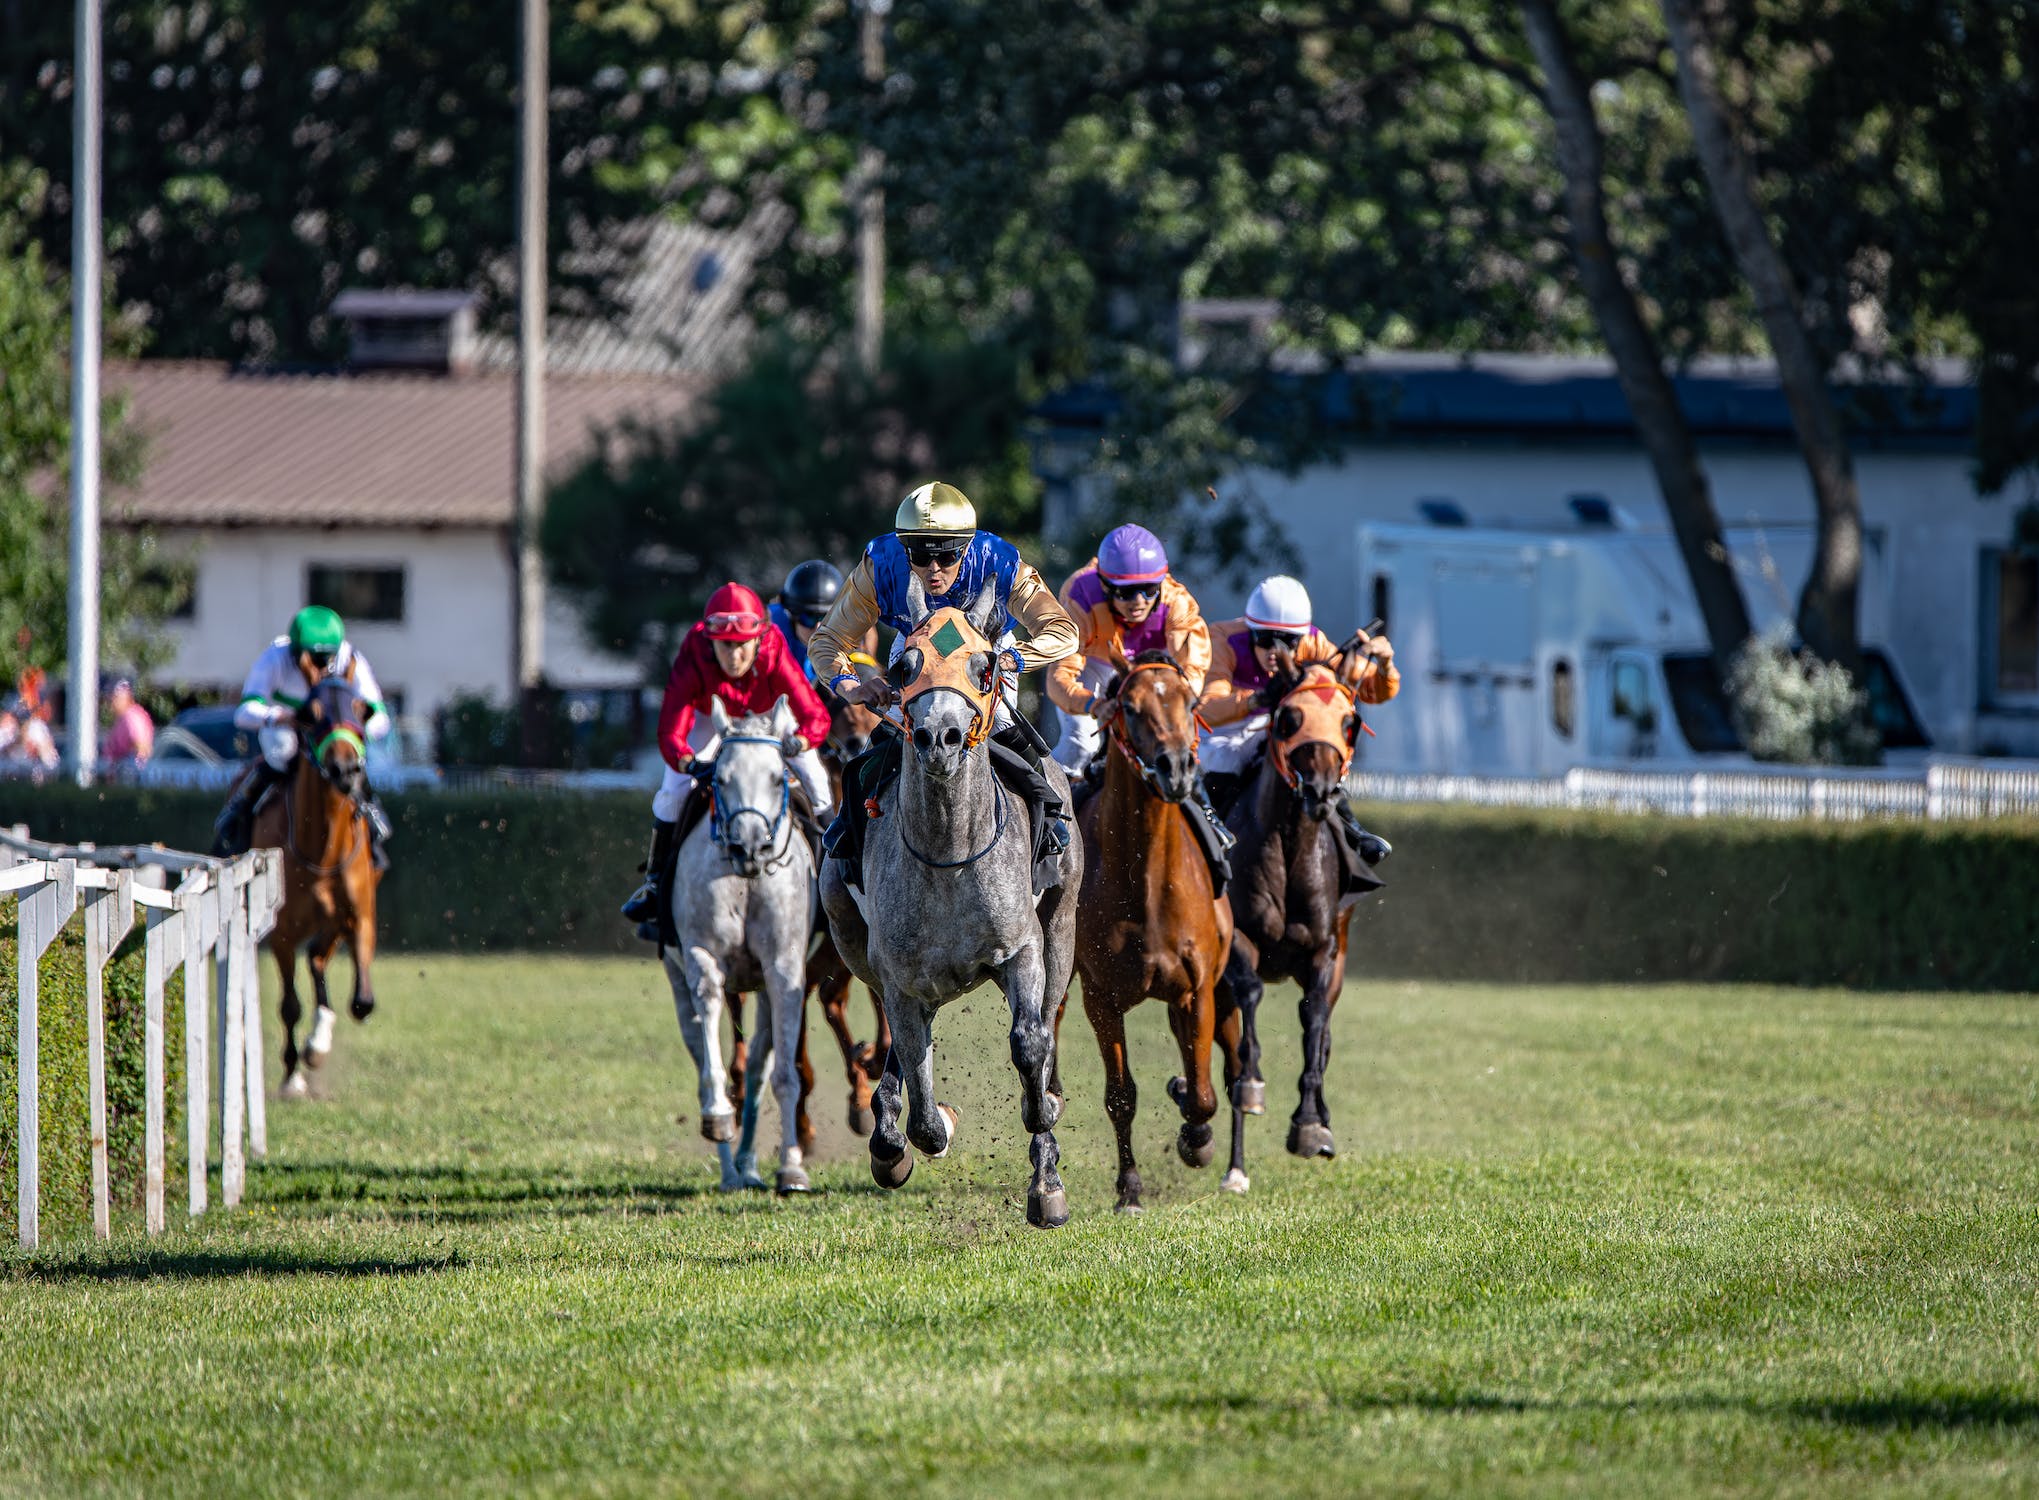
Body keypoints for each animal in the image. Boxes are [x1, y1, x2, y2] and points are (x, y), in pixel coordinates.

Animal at [253, 676, 383, 1092]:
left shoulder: (358, 916)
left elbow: (362, 1001)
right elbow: (289, 1005)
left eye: (362, 710)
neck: (322, 849)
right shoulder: (282, 931)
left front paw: (317, 1043)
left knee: (318, 958)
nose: (345, 769)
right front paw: (293, 1074)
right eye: (311, 714)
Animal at [656, 701, 807, 1198]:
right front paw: (719, 1116)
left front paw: (792, 1168)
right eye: (719, 779)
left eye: (778, 777)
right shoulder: (701, 957)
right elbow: (712, 1057)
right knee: (702, 1051)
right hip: (677, 977)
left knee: (759, 1066)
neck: (747, 881)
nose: (749, 847)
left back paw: (749, 1164)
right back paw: (729, 1167)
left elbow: (783, 1075)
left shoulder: (785, 970)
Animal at [815, 591, 1084, 1222]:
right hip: (849, 932)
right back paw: (889, 1133)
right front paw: (922, 1127)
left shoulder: (1021, 949)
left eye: (984, 667)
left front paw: (1045, 1157)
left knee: (1045, 1026)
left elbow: (1031, 1043)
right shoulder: (900, 975)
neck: (948, 852)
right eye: (902, 668)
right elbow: (920, 1101)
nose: (940, 737)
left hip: (1062, 925)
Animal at [1068, 652, 1223, 1214]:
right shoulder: (1100, 997)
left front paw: (1196, 1140)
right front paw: (1130, 1189)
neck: (1147, 880)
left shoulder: (1198, 991)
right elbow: (1120, 1095)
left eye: (1191, 702)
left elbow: (1202, 1093)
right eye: (1130, 708)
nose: (1175, 768)